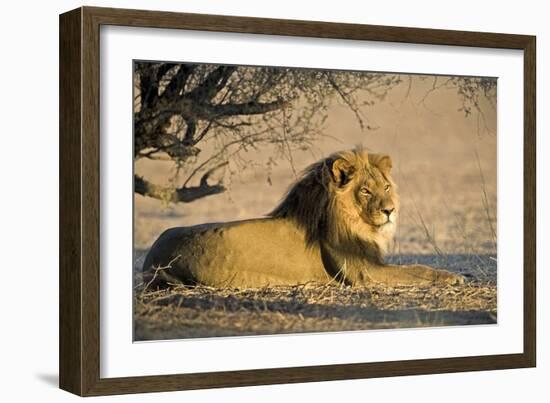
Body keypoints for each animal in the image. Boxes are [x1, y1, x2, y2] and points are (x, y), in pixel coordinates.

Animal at [142, 150, 466, 288]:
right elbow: (417, 269)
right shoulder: (364, 272)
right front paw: (455, 276)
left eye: (386, 187)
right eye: (365, 190)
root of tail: (150, 256)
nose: (390, 210)